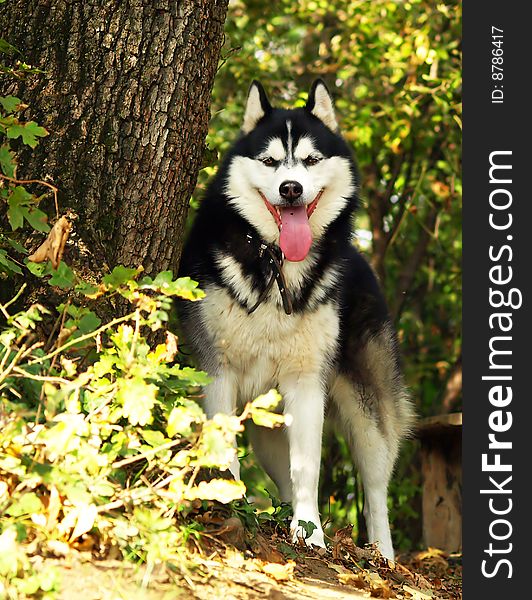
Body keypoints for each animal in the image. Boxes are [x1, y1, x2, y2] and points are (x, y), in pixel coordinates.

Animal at [179, 79, 416, 556]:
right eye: (270, 161)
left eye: (310, 160)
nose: (290, 188)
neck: (276, 264)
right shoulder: (217, 371)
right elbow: (226, 450)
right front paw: (230, 506)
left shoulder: (306, 383)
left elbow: (308, 467)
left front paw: (311, 533)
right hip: (267, 424)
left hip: (368, 407)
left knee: (375, 488)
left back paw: (382, 554)